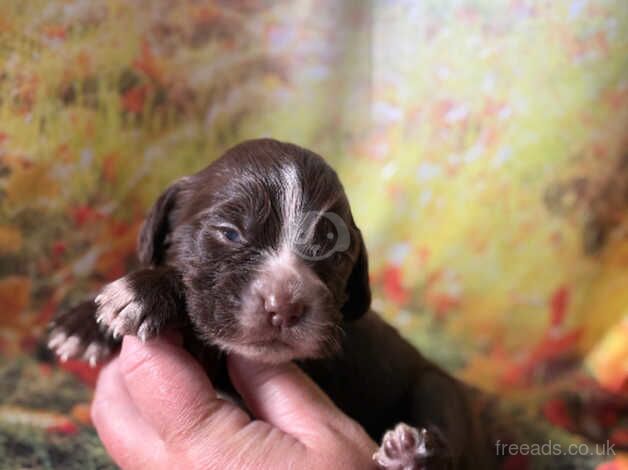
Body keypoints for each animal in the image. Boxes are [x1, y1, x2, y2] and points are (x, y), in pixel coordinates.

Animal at [47, 138, 496, 468]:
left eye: (333, 250)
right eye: (230, 233)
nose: (286, 308)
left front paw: (144, 292)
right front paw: (85, 324)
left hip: (438, 388)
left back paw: (412, 455)